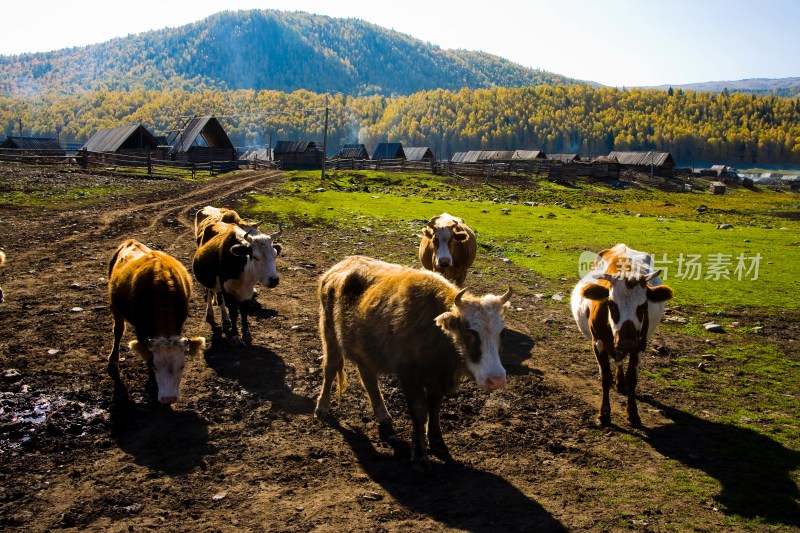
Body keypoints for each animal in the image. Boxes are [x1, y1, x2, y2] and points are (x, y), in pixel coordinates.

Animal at [106, 239, 206, 406]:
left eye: (182, 366)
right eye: (155, 365)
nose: (168, 398)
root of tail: (130, 241)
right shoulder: (141, 329)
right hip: (114, 306)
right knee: (118, 330)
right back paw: (113, 360)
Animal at [314, 256, 512, 468]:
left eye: (502, 333)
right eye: (469, 334)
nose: (496, 380)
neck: (436, 335)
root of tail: (339, 266)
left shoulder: (437, 380)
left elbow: (434, 410)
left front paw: (438, 443)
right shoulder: (408, 375)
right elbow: (419, 412)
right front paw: (419, 454)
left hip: (364, 351)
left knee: (368, 379)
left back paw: (383, 415)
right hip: (329, 334)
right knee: (329, 369)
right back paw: (322, 408)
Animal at [568, 243, 676, 426]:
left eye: (643, 306)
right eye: (611, 304)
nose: (627, 343)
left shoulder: (640, 344)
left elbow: (632, 378)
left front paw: (633, 413)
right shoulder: (598, 342)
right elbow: (605, 377)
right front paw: (604, 413)